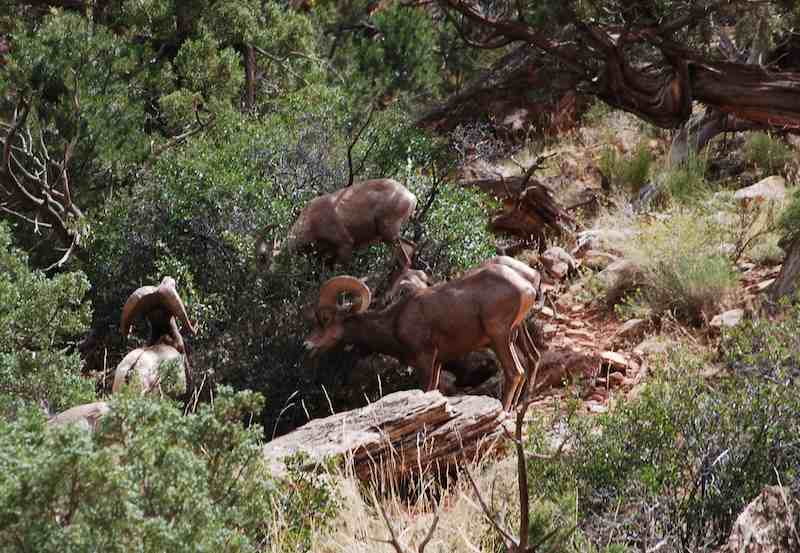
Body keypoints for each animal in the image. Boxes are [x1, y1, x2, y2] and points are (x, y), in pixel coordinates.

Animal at [258, 179, 418, 268]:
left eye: (263, 258)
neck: (311, 219)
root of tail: (411, 197)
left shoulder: (345, 245)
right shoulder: (327, 255)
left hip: (388, 233)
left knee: (405, 260)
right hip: (390, 236)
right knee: (410, 247)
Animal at [306, 258, 544, 410]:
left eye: (325, 319)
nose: (307, 345)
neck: (395, 321)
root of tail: (527, 287)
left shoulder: (425, 359)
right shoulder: (437, 362)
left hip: (499, 338)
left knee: (515, 372)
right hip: (511, 337)